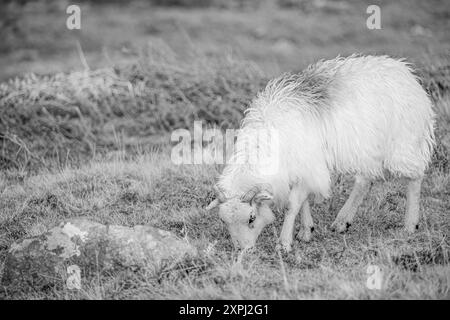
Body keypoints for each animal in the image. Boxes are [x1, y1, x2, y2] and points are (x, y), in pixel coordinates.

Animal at [206, 53, 434, 251]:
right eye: (223, 220)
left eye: (252, 218)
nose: (242, 250)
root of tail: (406, 72)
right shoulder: (303, 167)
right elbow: (303, 201)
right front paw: (306, 231)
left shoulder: (308, 165)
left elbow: (292, 205)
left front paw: (284, 243)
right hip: (369, 149)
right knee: (365, 181)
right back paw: (342, 221)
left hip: (403, 143)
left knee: (414, 177)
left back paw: (409, 225)